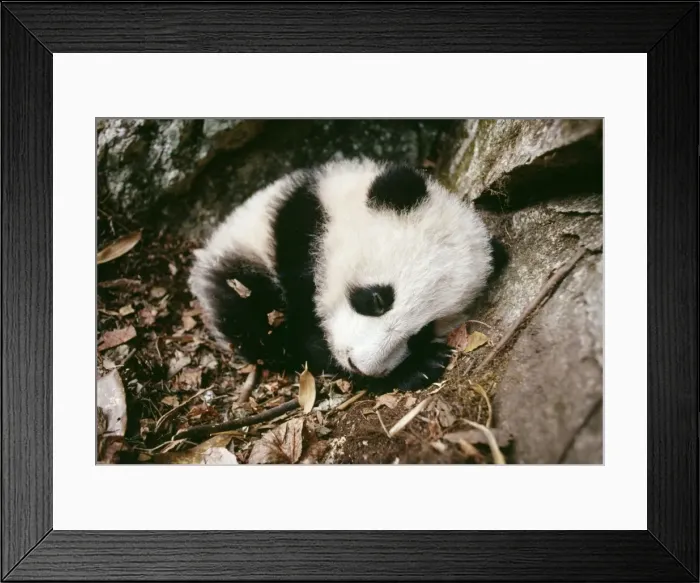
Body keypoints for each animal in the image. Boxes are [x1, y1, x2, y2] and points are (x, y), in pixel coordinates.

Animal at [188, 157, 500, 393]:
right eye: (377, 299)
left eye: (422, 333)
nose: (362, 366)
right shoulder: (297, 234)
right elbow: (307, 336)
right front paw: (416, 368)